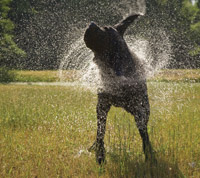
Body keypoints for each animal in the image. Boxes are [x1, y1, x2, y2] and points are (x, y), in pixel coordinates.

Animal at [83, 13, 154, 164]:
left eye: (105, 28)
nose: (91, 23)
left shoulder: (139, 110)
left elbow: (144, 135)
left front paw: (149, 156)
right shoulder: (102, 105)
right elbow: (100, 131)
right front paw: (100, 154)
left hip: (144, 108)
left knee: (144, 129)